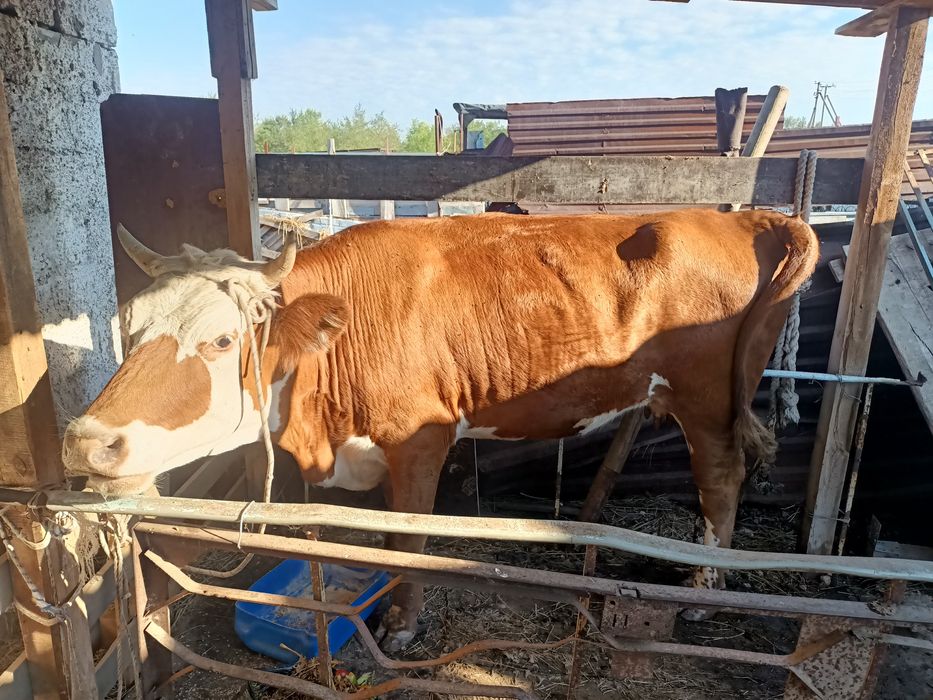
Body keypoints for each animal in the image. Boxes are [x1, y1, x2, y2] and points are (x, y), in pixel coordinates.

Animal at [62, 209, 818, 649]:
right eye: (128, 323)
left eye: (222, 340)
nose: (88, 440)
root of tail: (746, 216)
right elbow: (375, 536)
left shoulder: (419, 439)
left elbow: (409, 538)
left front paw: (401, 625)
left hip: (707, 402)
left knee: (720, 481)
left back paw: (702, 593)